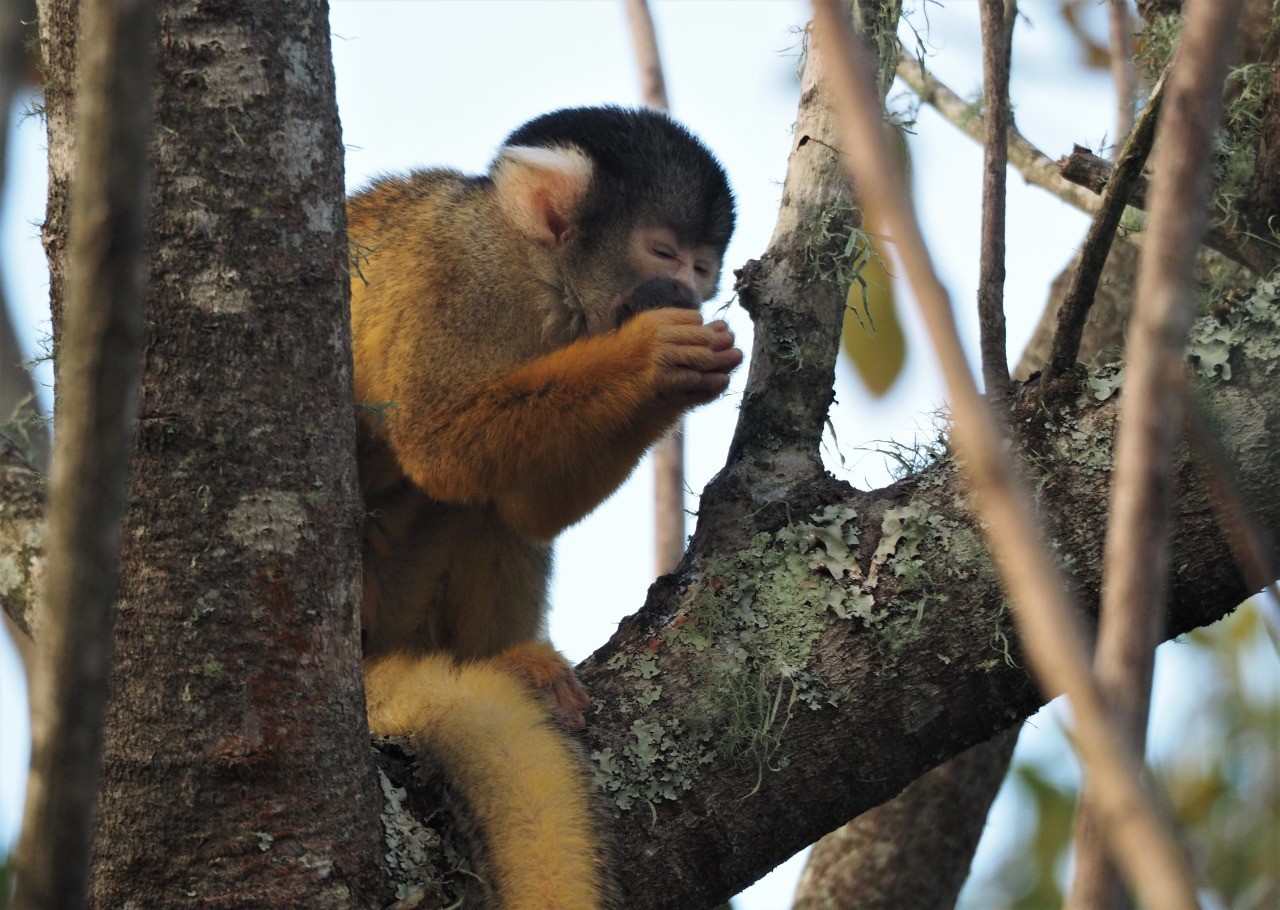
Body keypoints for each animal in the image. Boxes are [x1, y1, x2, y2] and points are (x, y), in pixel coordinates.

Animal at [350, 106, 739, 908]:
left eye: (702, 267)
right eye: (663, 252)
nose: (690, 294)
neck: (542, 283)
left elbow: (523, 506)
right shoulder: (458, 278)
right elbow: (436, 440)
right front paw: (655, 358)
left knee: (484, 506)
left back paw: (507, 659)